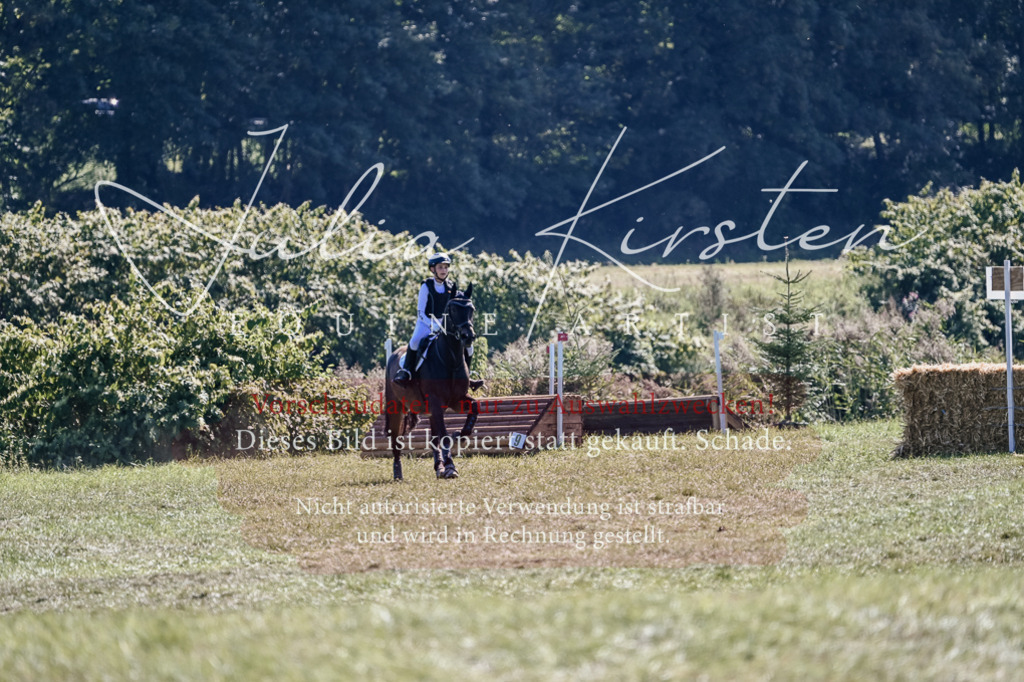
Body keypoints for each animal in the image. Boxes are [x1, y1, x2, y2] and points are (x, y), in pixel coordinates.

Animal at [384, 284, 479, 480]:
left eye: (471, 309)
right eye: (452, 309)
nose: (468, 337)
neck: (450, 360)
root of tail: (394, 354)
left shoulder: (455, 400)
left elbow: (474, 407)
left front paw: (461, 434)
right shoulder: (436, 402)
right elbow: (444, 435)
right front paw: (451, 467)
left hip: (430, 410)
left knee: (434, 438)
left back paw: (439, 468)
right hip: (396, 407)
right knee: (396, 438)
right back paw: (398, 472)